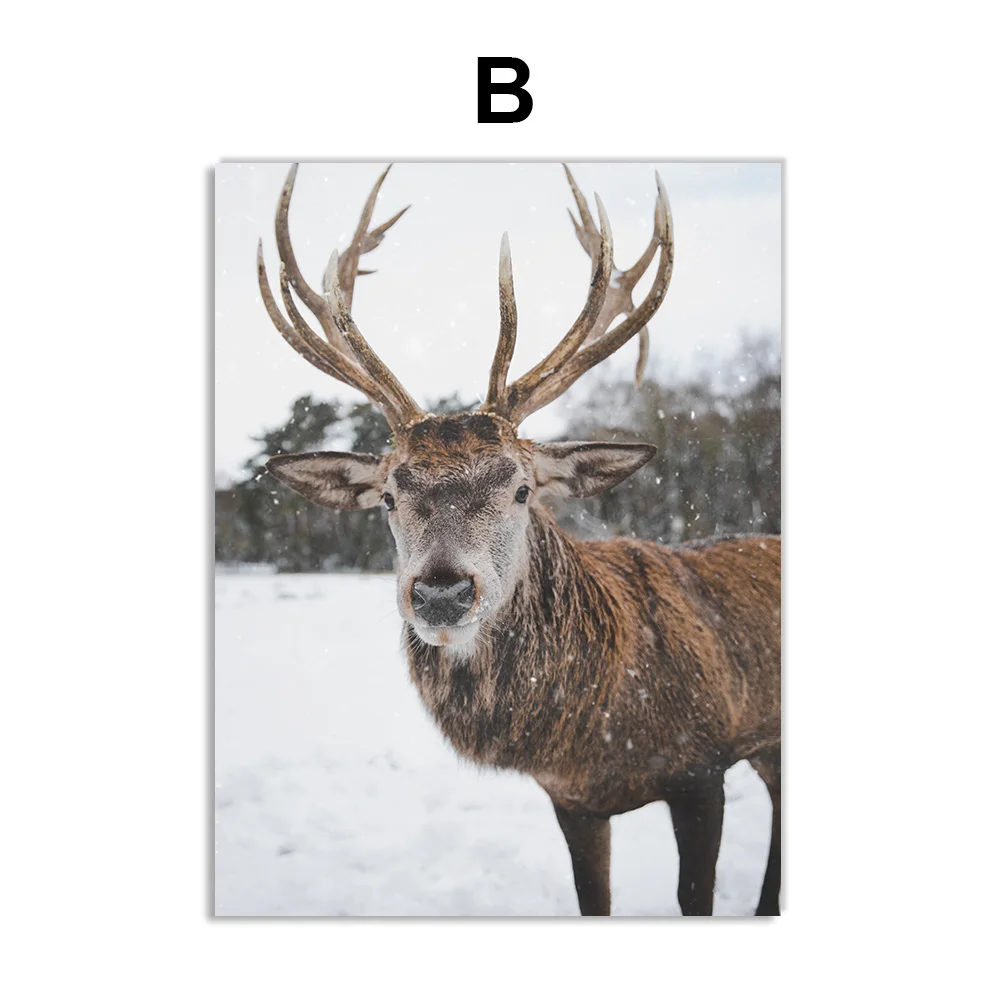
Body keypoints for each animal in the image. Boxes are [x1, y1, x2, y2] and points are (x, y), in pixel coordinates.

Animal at [256, 163, 781, 916]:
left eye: (523, 489)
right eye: (388, 497)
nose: (441, 591)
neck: (597, 733)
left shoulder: (703, 765)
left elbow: (695, 896)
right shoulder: (572, 802)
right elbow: (593, 900)